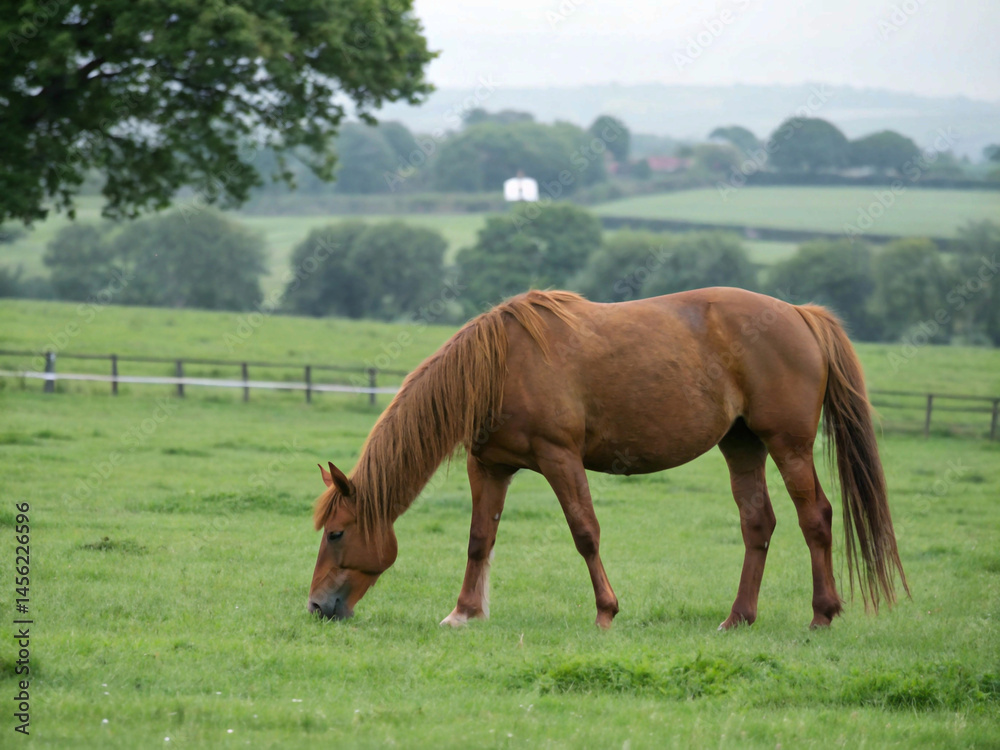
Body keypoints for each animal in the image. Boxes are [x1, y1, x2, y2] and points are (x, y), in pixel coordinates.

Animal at [308, 288, 908, 629]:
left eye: (336, 533)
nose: (316, 607)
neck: (498, 366)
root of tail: (801, 315)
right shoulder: (491, 466)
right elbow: (480, 539)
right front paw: (464, 613)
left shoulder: (559, 457)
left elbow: (585, 533)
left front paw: (605, 611)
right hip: (742, 445)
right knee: (758, 522)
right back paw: (737, 619)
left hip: (788, 445)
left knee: (816, 518)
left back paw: (822, 615)